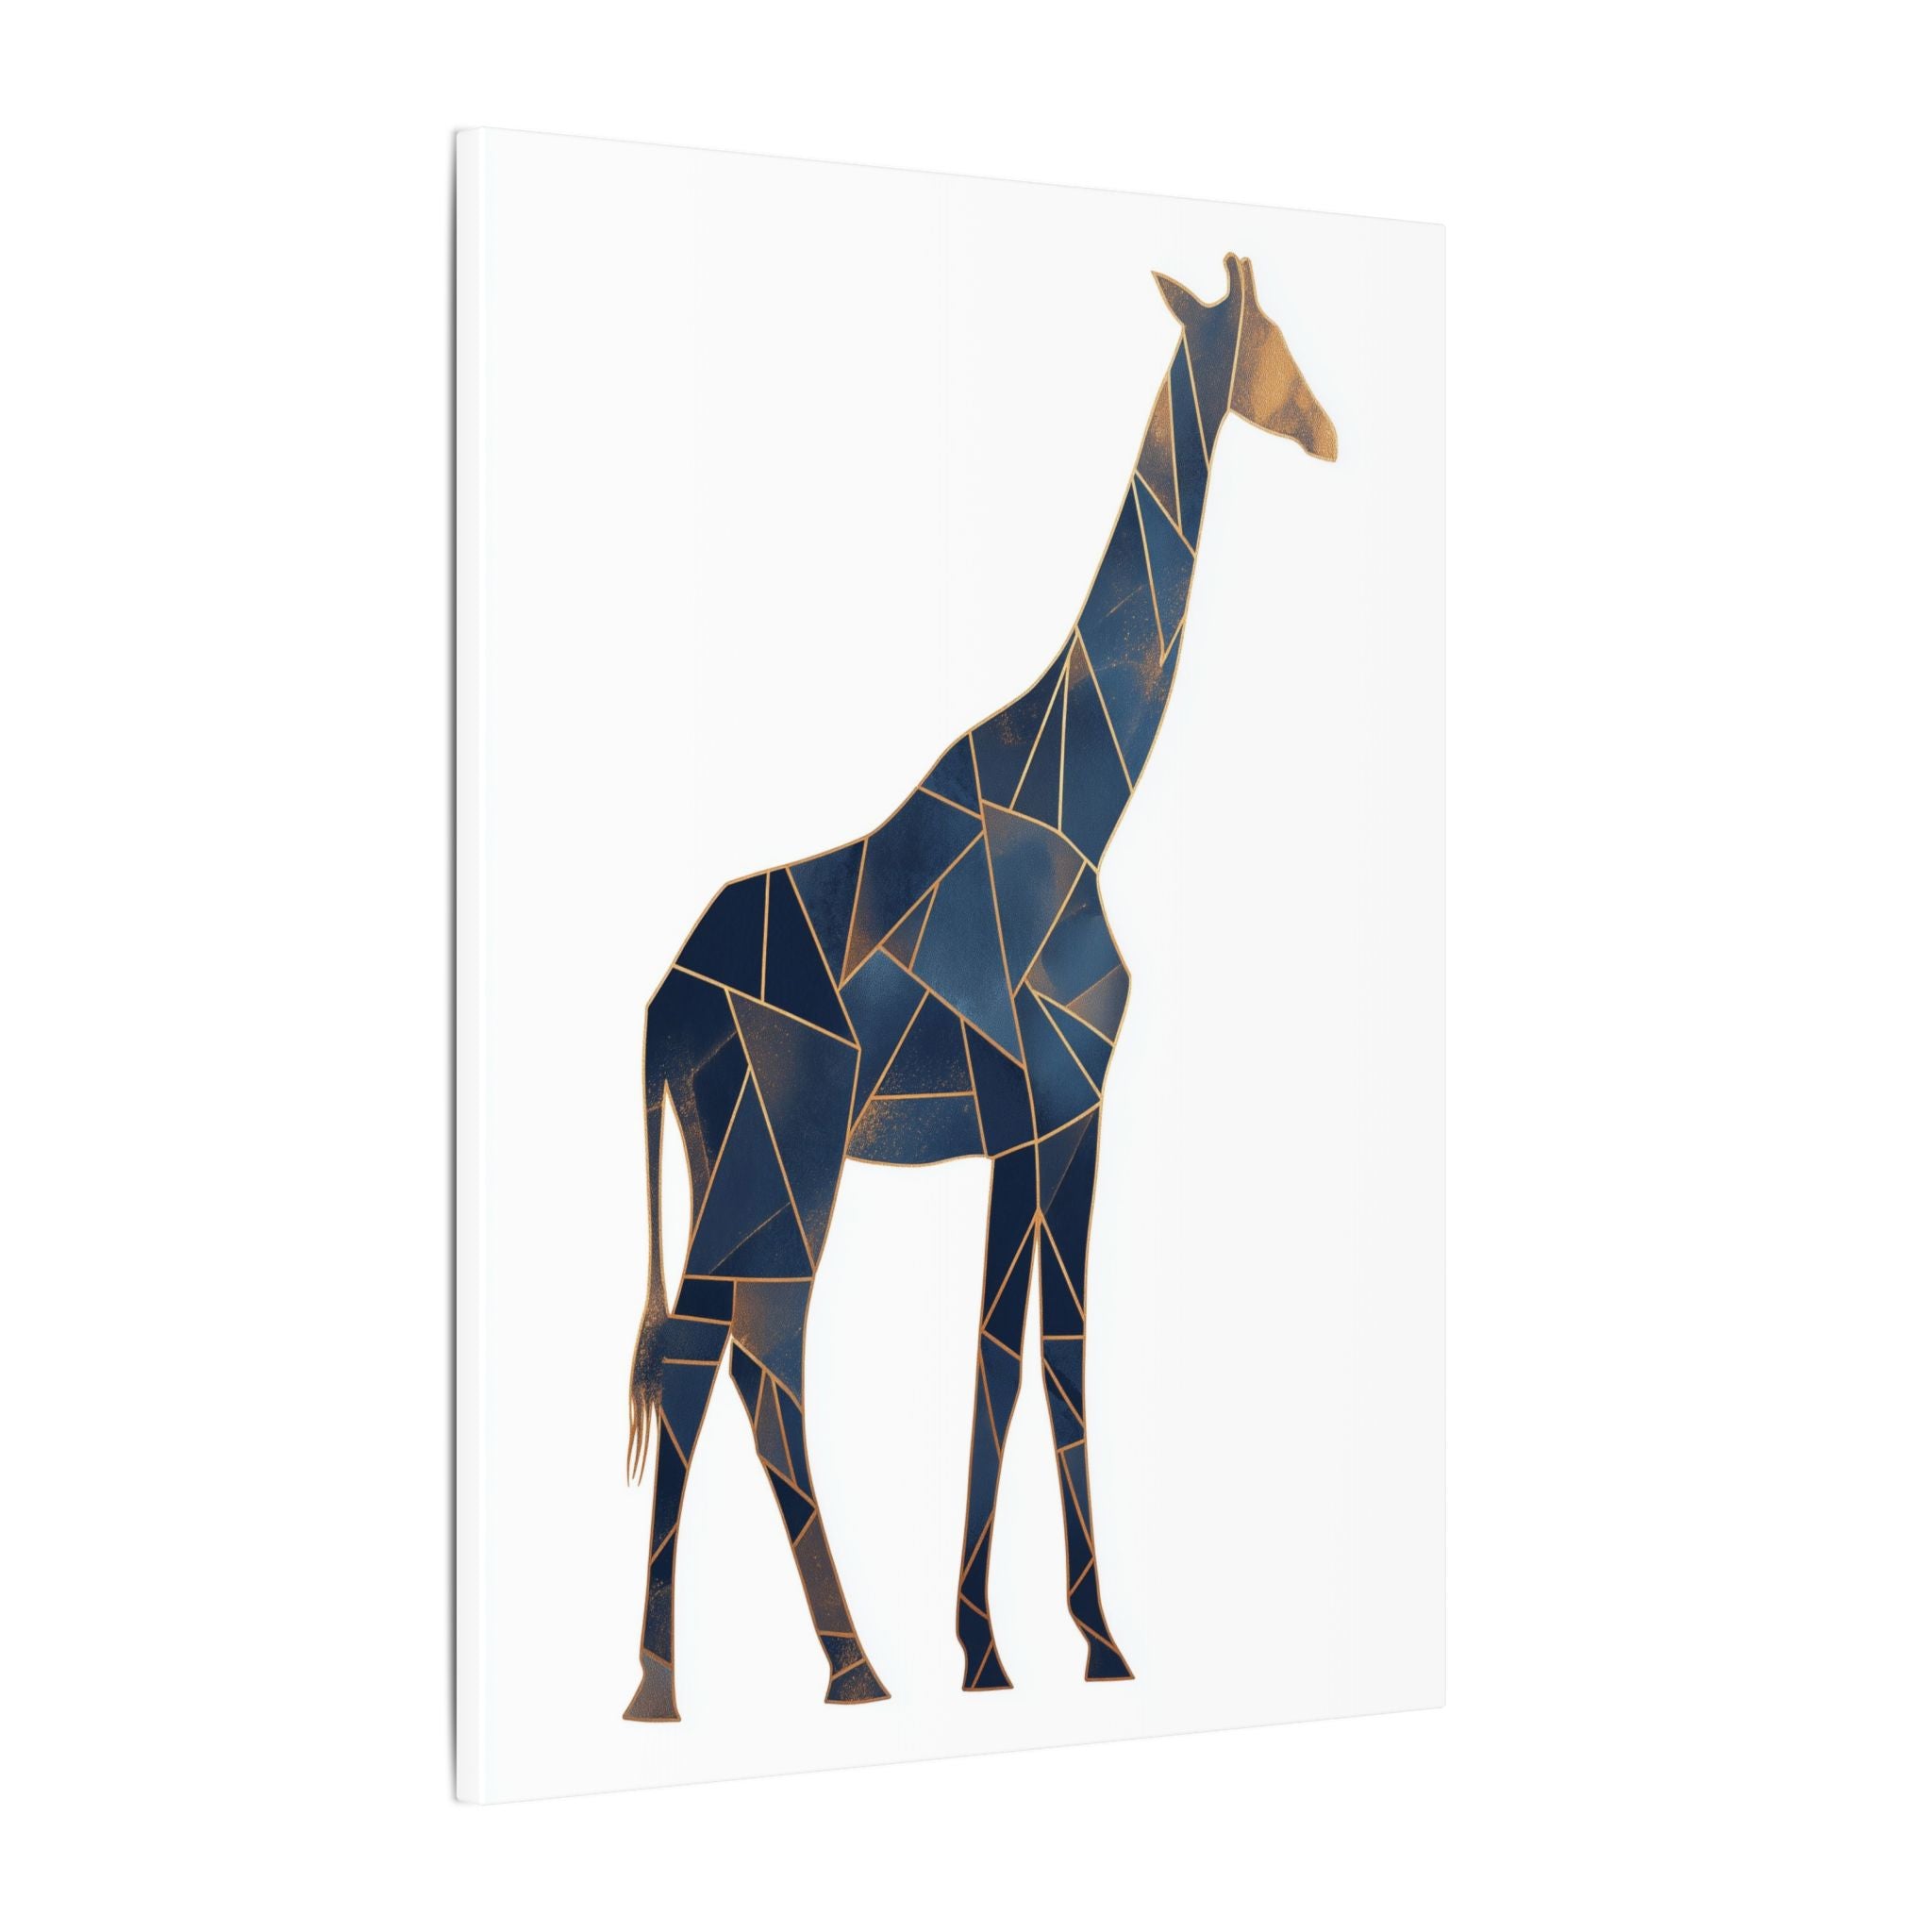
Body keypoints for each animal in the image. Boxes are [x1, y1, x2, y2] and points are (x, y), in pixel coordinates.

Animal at [623, 252, 1337, 1722]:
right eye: (1273, 340)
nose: (1330, 430)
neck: (1088, 797)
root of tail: (665, 1003)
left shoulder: (1048, 1116)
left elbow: (1022, 1349)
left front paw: (1029, 1644)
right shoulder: (1054, 1099)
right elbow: (1033, 1347)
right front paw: (1053, 1644)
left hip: (733, 1152)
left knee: (736, 1353)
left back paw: (821, 1665)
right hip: (785, 1153)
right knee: (732, 1347)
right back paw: (699, 1682)